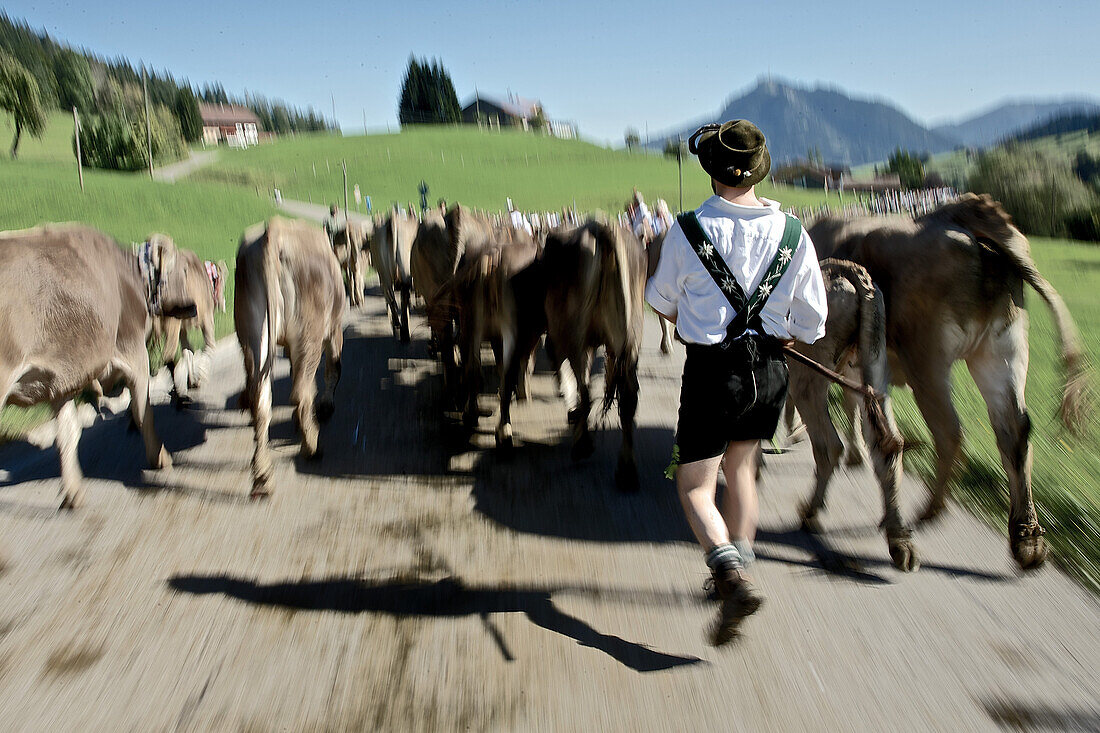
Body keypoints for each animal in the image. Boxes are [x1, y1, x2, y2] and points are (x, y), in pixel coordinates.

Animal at [0, 225, 195, 506]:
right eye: (184, 269)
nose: (194, 306)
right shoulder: (133, 350)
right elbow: (142, 410)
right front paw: (160, 456)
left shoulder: (61, 376)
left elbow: (68, 433)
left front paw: (72, 492)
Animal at [235, 216, 343, 497]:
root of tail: (276, 230)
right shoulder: (334, 329)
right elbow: (333, 369)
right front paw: (326, 407)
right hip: (309, 334)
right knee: (301, 391)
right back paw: (312, 446)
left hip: (253, 333)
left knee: (261, 400)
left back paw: (262, 478)